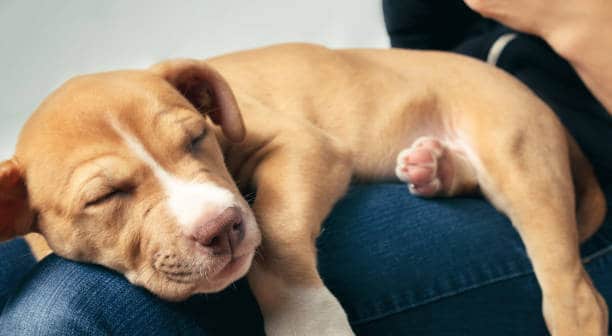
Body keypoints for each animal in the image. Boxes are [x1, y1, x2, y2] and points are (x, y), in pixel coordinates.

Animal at [0, 43, 608, 334]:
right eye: (104, 198)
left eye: (198, 138)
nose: (222, 228)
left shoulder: (303, 143)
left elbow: (275, 233)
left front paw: (306, 322)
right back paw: (432, 166)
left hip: (518, 161)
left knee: (575, 294)